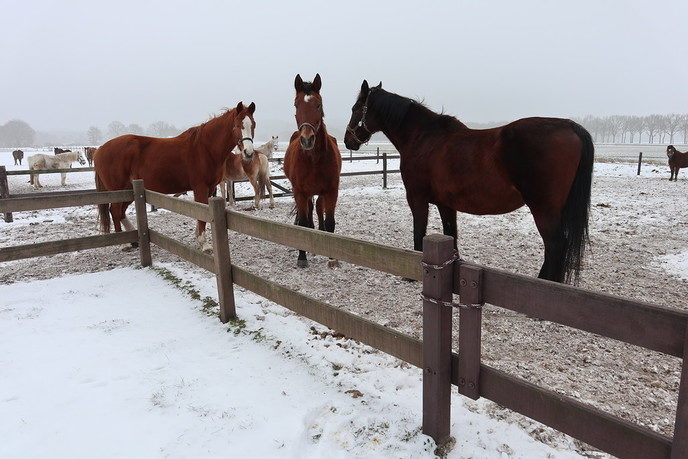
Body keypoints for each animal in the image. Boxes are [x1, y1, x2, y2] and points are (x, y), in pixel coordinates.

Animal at [94, 101, 256, 253]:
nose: (248, 153)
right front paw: (204, 244)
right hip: (118, 191)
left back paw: (133, 240)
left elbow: (202, 212)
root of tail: (100, 149)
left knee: (120, 213)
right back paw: (125, 244)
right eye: (237, 125)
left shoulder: (210, 188)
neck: (205, 148)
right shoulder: (201, 187)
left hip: (129, 190)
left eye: (253, 125)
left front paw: (198, 237)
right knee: (115, 211)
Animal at [284, 74, 342, 268]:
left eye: (318, 104)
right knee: (309, 213)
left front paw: (332, 257)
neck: (314, 160)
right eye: (296, 104)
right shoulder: (300, 192)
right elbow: (302, 222)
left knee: (317, 209)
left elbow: (330, 222)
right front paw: (302, 257)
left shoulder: (331, 191)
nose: (307, 139)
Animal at [344, 81, 593, 284]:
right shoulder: (445, 204)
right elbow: (450, 234)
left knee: (555, 246)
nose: (348, 141)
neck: (424, 138)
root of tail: (571, 126)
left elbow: (419, 231)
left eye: (356, 108)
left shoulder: (417, 198)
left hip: (544, 209)